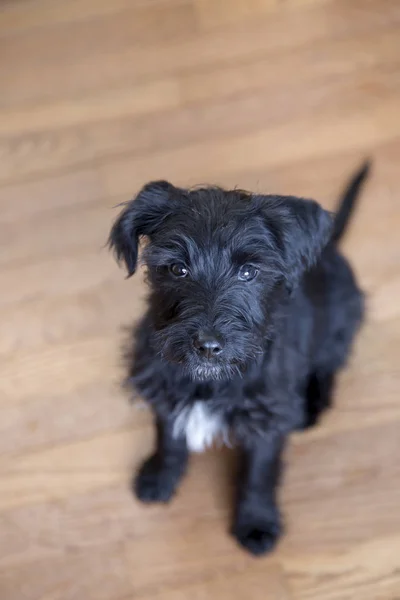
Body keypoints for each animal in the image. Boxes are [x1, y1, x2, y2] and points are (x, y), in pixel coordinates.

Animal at [108, 162, 368, 556]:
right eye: (177, 269)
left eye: (249, 271)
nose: (208, 346)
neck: (212, 380)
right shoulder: (164, 388)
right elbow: (168, 436)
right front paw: (159, 477)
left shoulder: (266, 416)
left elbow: (259, 471)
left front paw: (257, 522)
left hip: (340, 326)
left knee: (328, 367)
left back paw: (311, 407)